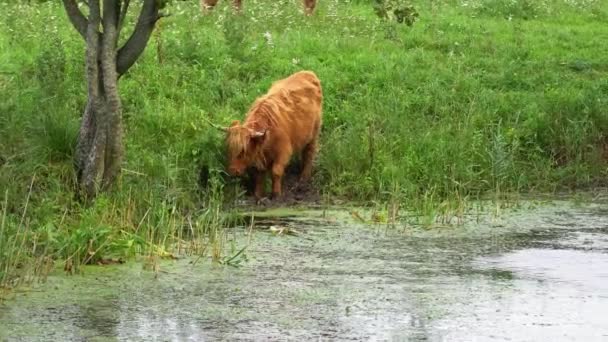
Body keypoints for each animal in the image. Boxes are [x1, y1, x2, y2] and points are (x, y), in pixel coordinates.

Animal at [218, 71, 324, 202]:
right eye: (229, 149)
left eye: (243, 151)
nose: (233, 171)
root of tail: (308, 73)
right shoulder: (260, 156)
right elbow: (259, 175)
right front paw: (257, 195)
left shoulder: (283, 152)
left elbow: (276, 171)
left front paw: (276, 194)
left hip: (313, 134)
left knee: (309, 153)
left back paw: (304, 178)